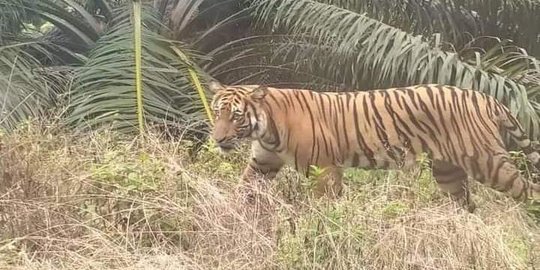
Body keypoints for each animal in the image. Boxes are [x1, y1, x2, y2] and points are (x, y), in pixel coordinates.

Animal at [208, 81, 540, 212]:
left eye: (236, 116)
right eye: (216, 112)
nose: (218, 139)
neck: (266, 130)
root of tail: (486, 96)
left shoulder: (325, 168)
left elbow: (323, 204)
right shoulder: (263, 164)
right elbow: (243, 190)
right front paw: (229, 215)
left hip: (489, 163)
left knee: (529, 190)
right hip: (449, 173)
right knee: (467, 205)